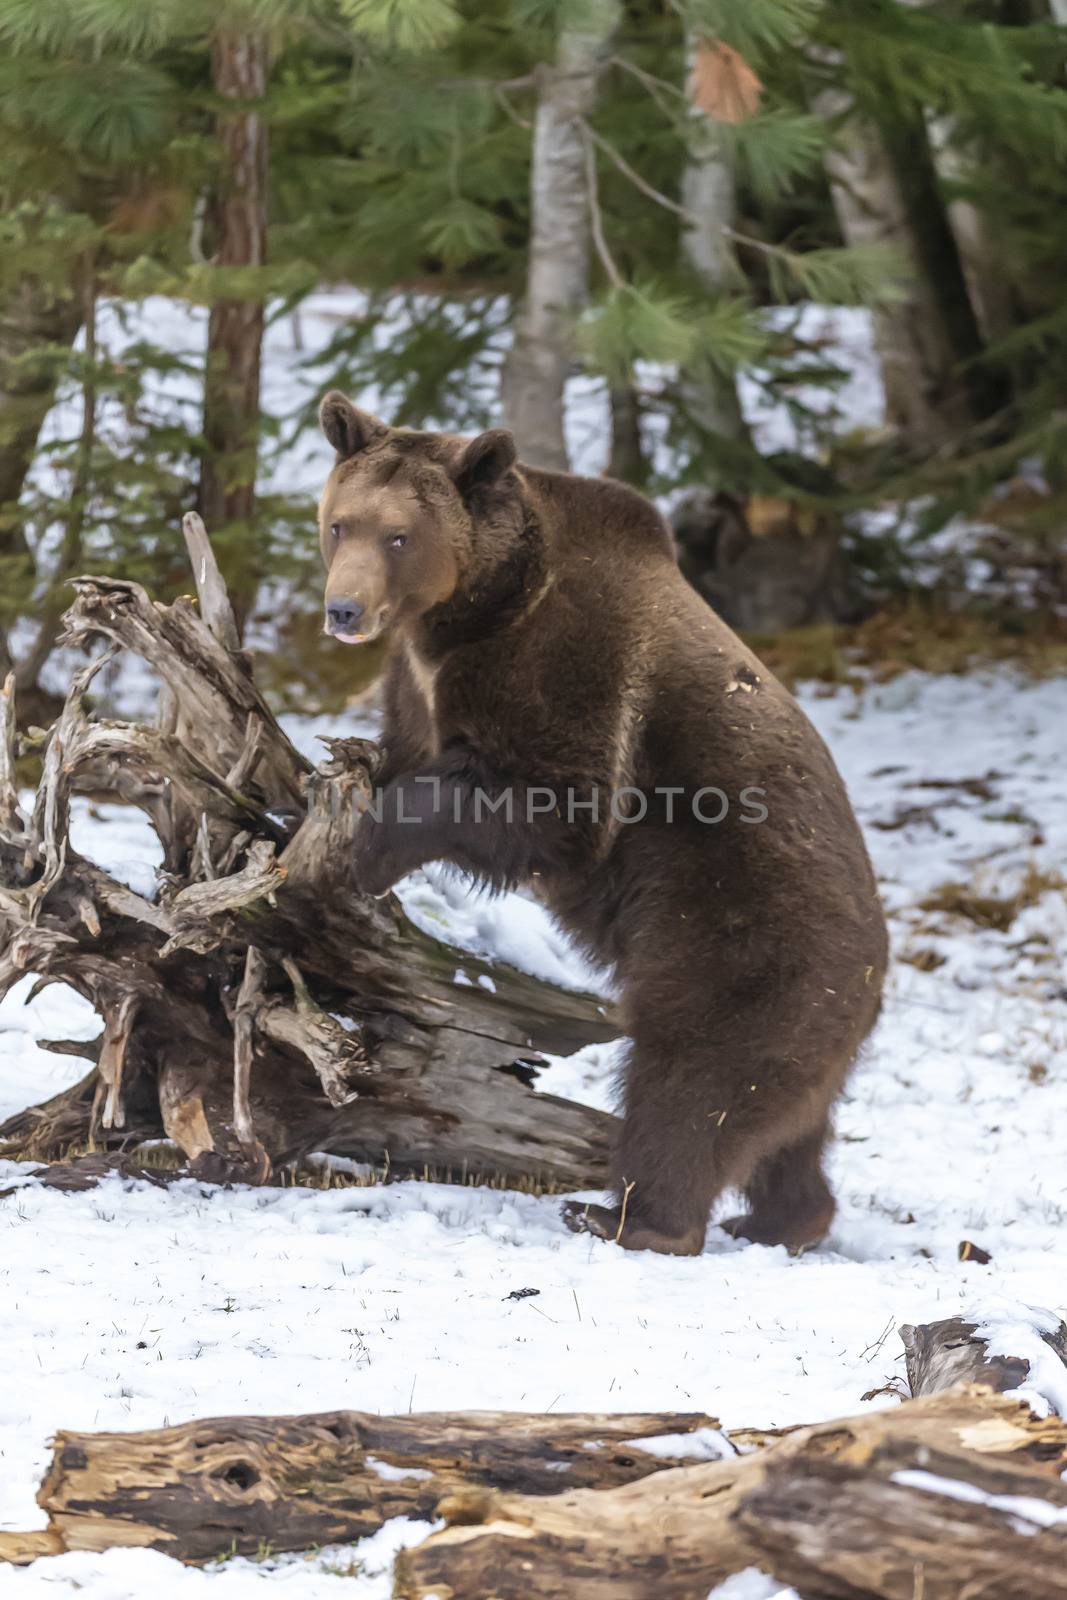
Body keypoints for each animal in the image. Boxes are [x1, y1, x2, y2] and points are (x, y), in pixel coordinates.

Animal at [319, 393, 895, 1254]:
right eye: (338, 523)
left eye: (398, 535)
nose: (343, 609)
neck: (472, 612)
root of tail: (876, 971)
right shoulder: (419, 680)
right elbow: (407, 748)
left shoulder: (568, 658)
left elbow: (556, 804)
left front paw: (369, 850)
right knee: (788, 1124)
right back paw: (783, 1219)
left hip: (743, 942)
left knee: (691, 1081)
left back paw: (628, 1216)